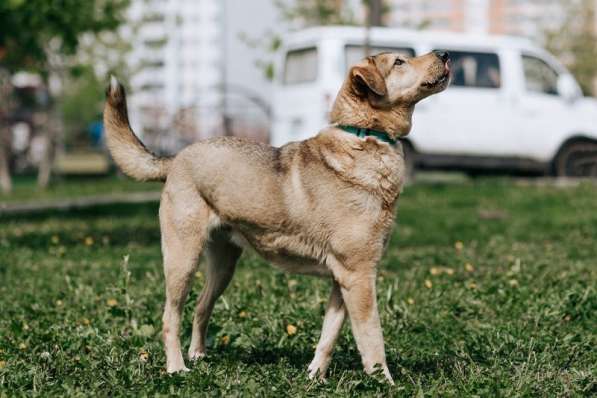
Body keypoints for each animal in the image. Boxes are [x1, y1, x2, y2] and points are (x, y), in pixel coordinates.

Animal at [103, 49, 448, 382]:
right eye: (399, 61)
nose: (444, 54)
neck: (364, 137)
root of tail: (175, 158)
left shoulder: (343, 280)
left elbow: (328, 335)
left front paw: (314, 377)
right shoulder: (359, 275)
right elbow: (372, 337)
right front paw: (384, 381)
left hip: (224, 264)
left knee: (201, 307)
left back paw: (198, 356)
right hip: (182, 260)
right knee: (170, 317)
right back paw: (176, 369)